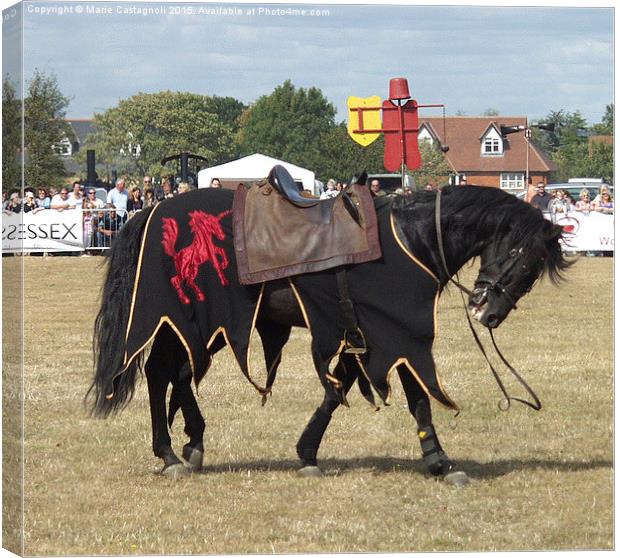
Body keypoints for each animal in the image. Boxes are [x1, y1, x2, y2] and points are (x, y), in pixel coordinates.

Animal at [88, 184, 572, 486]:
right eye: (523, 256)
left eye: (532, 269)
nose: (487, 312)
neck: (411, 239)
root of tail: (152, 210)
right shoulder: (397, 332)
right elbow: (416, 395)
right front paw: (439, 460)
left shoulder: (359, 334)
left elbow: (336, 389)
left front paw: (307, 452)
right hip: (195, 321)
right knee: (167, 374)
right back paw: (177, 450)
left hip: (197, 327)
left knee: (169, 374)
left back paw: (183, 445)